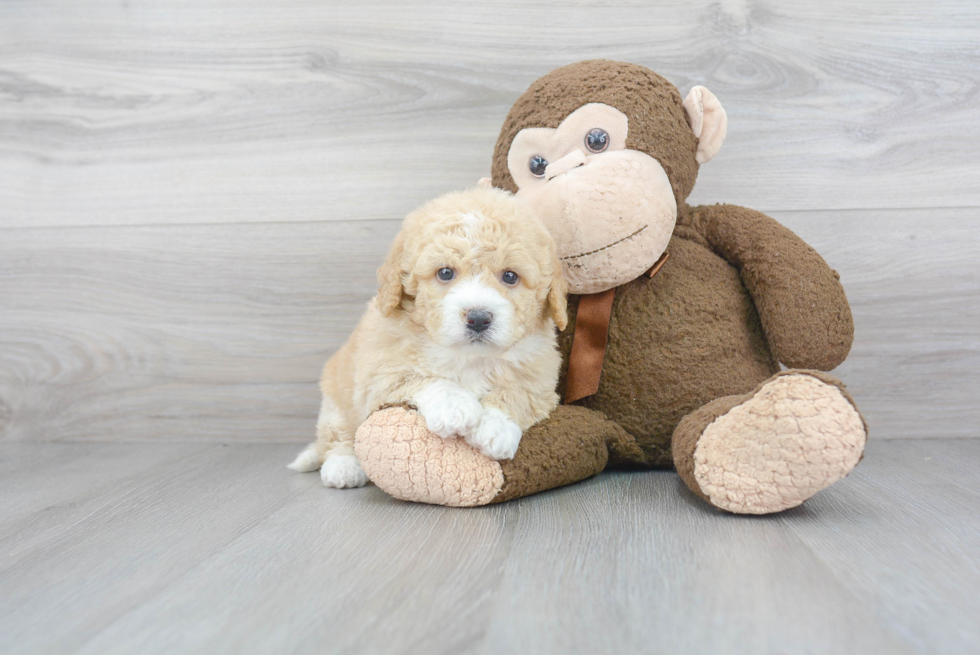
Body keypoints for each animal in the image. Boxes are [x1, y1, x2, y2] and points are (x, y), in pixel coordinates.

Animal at [288, 187, 568, 490]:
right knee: (336, 436)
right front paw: (455, 408)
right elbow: (425, 377)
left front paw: (495, 428)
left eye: (510, 276)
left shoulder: (541, 377)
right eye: (445, 272)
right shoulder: (379, 374)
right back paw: (342, 467)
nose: (478, 318)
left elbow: (518, 392)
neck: (469, 356)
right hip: (336, 400)